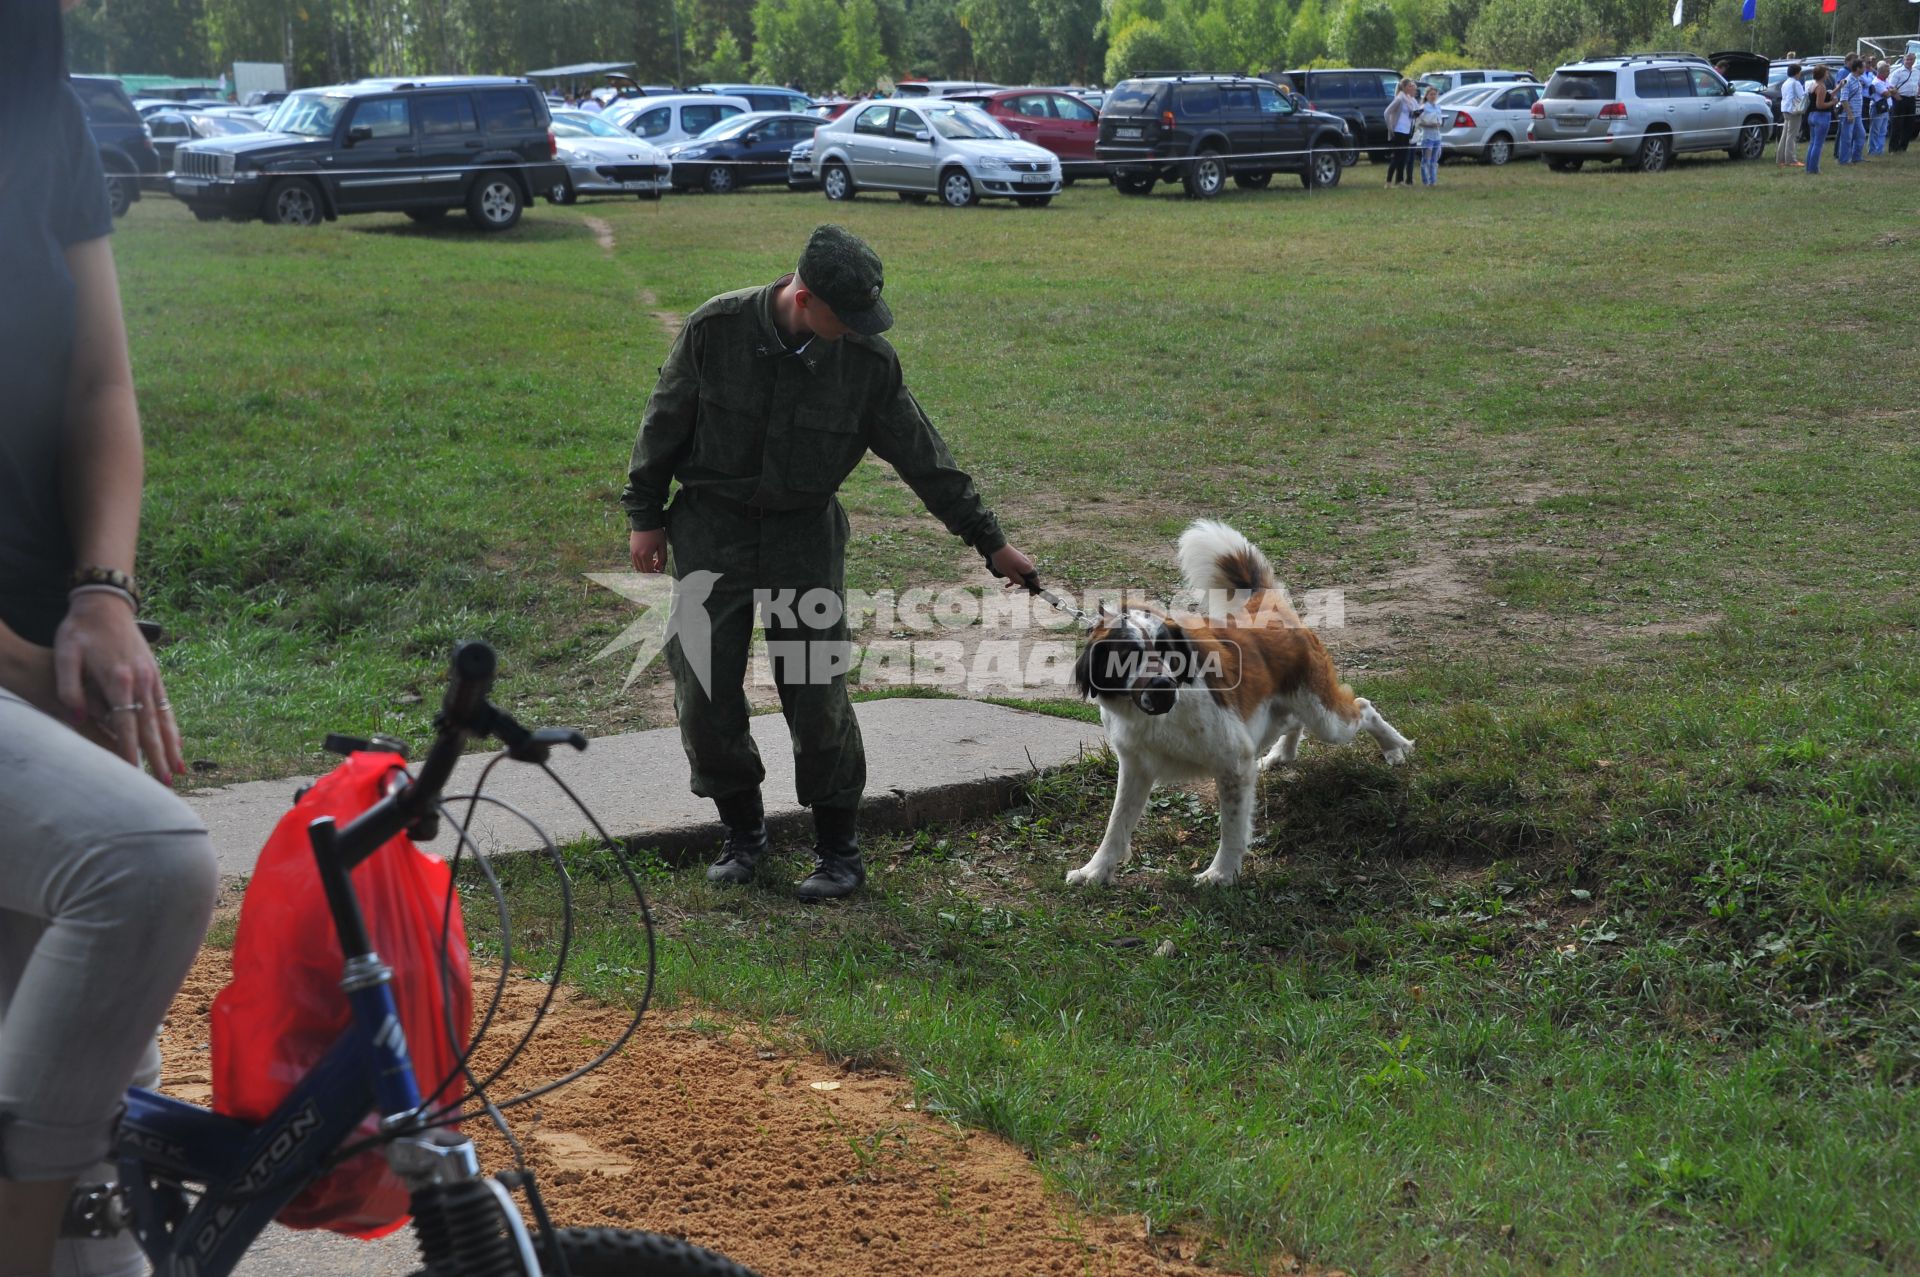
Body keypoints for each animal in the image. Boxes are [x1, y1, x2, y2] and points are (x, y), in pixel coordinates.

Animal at [1067, 518, 1413, 887]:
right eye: (1126, 656)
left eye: (1168, 653)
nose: (1162, 686)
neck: (1161, 718)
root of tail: (1268, 608)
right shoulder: (1135, 766)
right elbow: (1116, 824)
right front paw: (1095, 870)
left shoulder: (1234, 761)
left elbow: (1231, 827)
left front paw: (1222, 873)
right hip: (1283, 709)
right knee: (1295, 721)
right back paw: (1282, 754)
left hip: (1326, 719)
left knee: (1362, 707)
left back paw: (1394, 746)